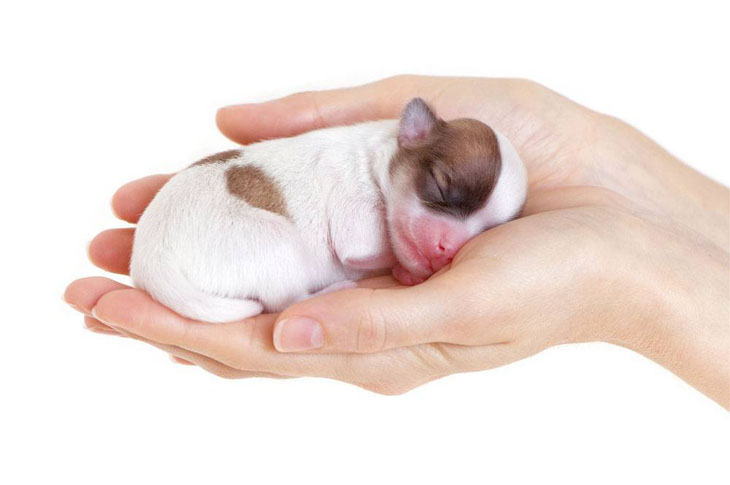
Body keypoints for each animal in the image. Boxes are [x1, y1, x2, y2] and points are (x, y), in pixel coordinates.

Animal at [131, 98, 528, 322]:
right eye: (440, 185)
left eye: (485, 230)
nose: (445, 251)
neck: (375, 159)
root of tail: (151, 260)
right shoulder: (354, 209)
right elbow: (366, 249)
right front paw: (404, 267)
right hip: (275, 243)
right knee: (285, 302)